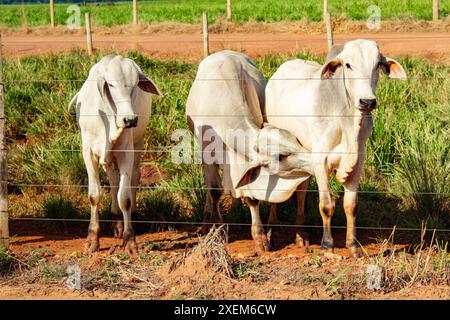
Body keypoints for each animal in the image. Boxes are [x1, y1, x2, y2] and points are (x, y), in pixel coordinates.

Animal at [68, 55, 162, 255]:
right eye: (110, 85)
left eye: (136, 84)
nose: (130, 119)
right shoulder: (88, 152)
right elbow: (94, 195)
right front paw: (92, 239)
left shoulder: (127, 152)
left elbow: (124, 198)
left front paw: (130, 240)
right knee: (113, 180)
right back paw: (116, 222)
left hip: (138, 144)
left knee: (133, 177)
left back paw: (130, 217)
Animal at [186, 50, 312, 252]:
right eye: (281, 156)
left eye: (295, 140)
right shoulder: (207, 153)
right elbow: (214, 190)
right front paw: (218, 228)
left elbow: (253, 198)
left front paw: (260, 236)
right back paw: (206, 222)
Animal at [266, 40, 406, 256]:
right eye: (348, 65)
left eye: (377, 65)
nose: (367, 101)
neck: (347, 118)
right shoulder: (320, 160)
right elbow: (325, 205)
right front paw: (327, 245)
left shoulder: (358, 160)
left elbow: (351, 205)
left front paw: (352, 246)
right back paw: (273, 224)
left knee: (301, 191)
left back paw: (301, 234)